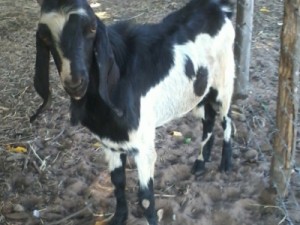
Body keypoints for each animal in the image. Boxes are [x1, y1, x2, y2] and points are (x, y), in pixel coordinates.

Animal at [31, 0, 236, 224]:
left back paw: (226, 163)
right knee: (208, 119)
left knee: (227, 119)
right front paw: (119, 217)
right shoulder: (110, 143)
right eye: (44, 36)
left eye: (91, 28)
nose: (75, 83)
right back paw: (200, 163)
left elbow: (145, 197)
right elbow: (117, 182)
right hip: (199, 92)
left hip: (224, 81)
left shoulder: (143, 146)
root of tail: (218, 7)